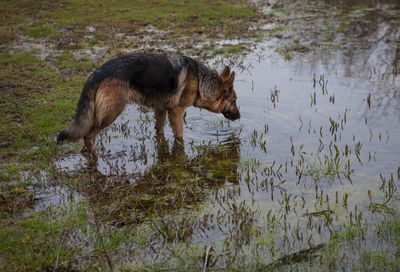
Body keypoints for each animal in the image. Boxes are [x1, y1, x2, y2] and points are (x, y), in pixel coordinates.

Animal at [57, 53, 241, 155]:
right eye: (234, 100)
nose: (239, 117)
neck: (201, 80)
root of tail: (97, 72)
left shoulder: (161, 110)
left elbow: (159, 132)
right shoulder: (177, 111)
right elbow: (179, 135)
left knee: (86, 131)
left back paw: (86, 151)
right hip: (111, 113)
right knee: (88, 134)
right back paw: (96, 154)